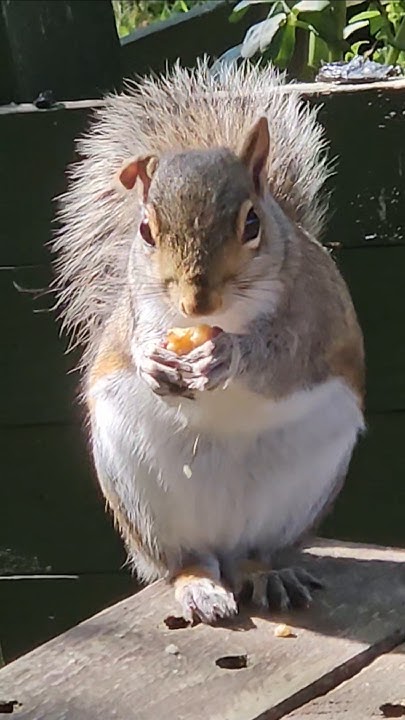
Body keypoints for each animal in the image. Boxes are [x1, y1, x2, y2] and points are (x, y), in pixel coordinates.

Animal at [53, 59, 365, 624]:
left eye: (252, 223)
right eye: (145, 231)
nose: (196, 304)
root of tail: (226, 541)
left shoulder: (314, 319)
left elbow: (282, 360)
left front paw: (228, 356)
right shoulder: (137, 310)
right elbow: (134, 341)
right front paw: (150, 362)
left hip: (296, 497)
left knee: (253, 555)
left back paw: (267, 573)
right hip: (144, 499)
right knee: (185, 560)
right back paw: (200, 584)